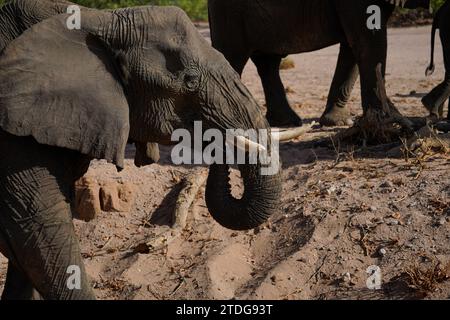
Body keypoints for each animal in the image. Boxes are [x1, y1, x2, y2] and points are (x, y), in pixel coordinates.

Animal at [209, 0, 430, 127]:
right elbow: (368, 40)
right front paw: (394, 122)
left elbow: (353, 45)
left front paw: (339, 122)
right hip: (229, 15)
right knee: (231, 57)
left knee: (268, 62)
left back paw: (288, 122)